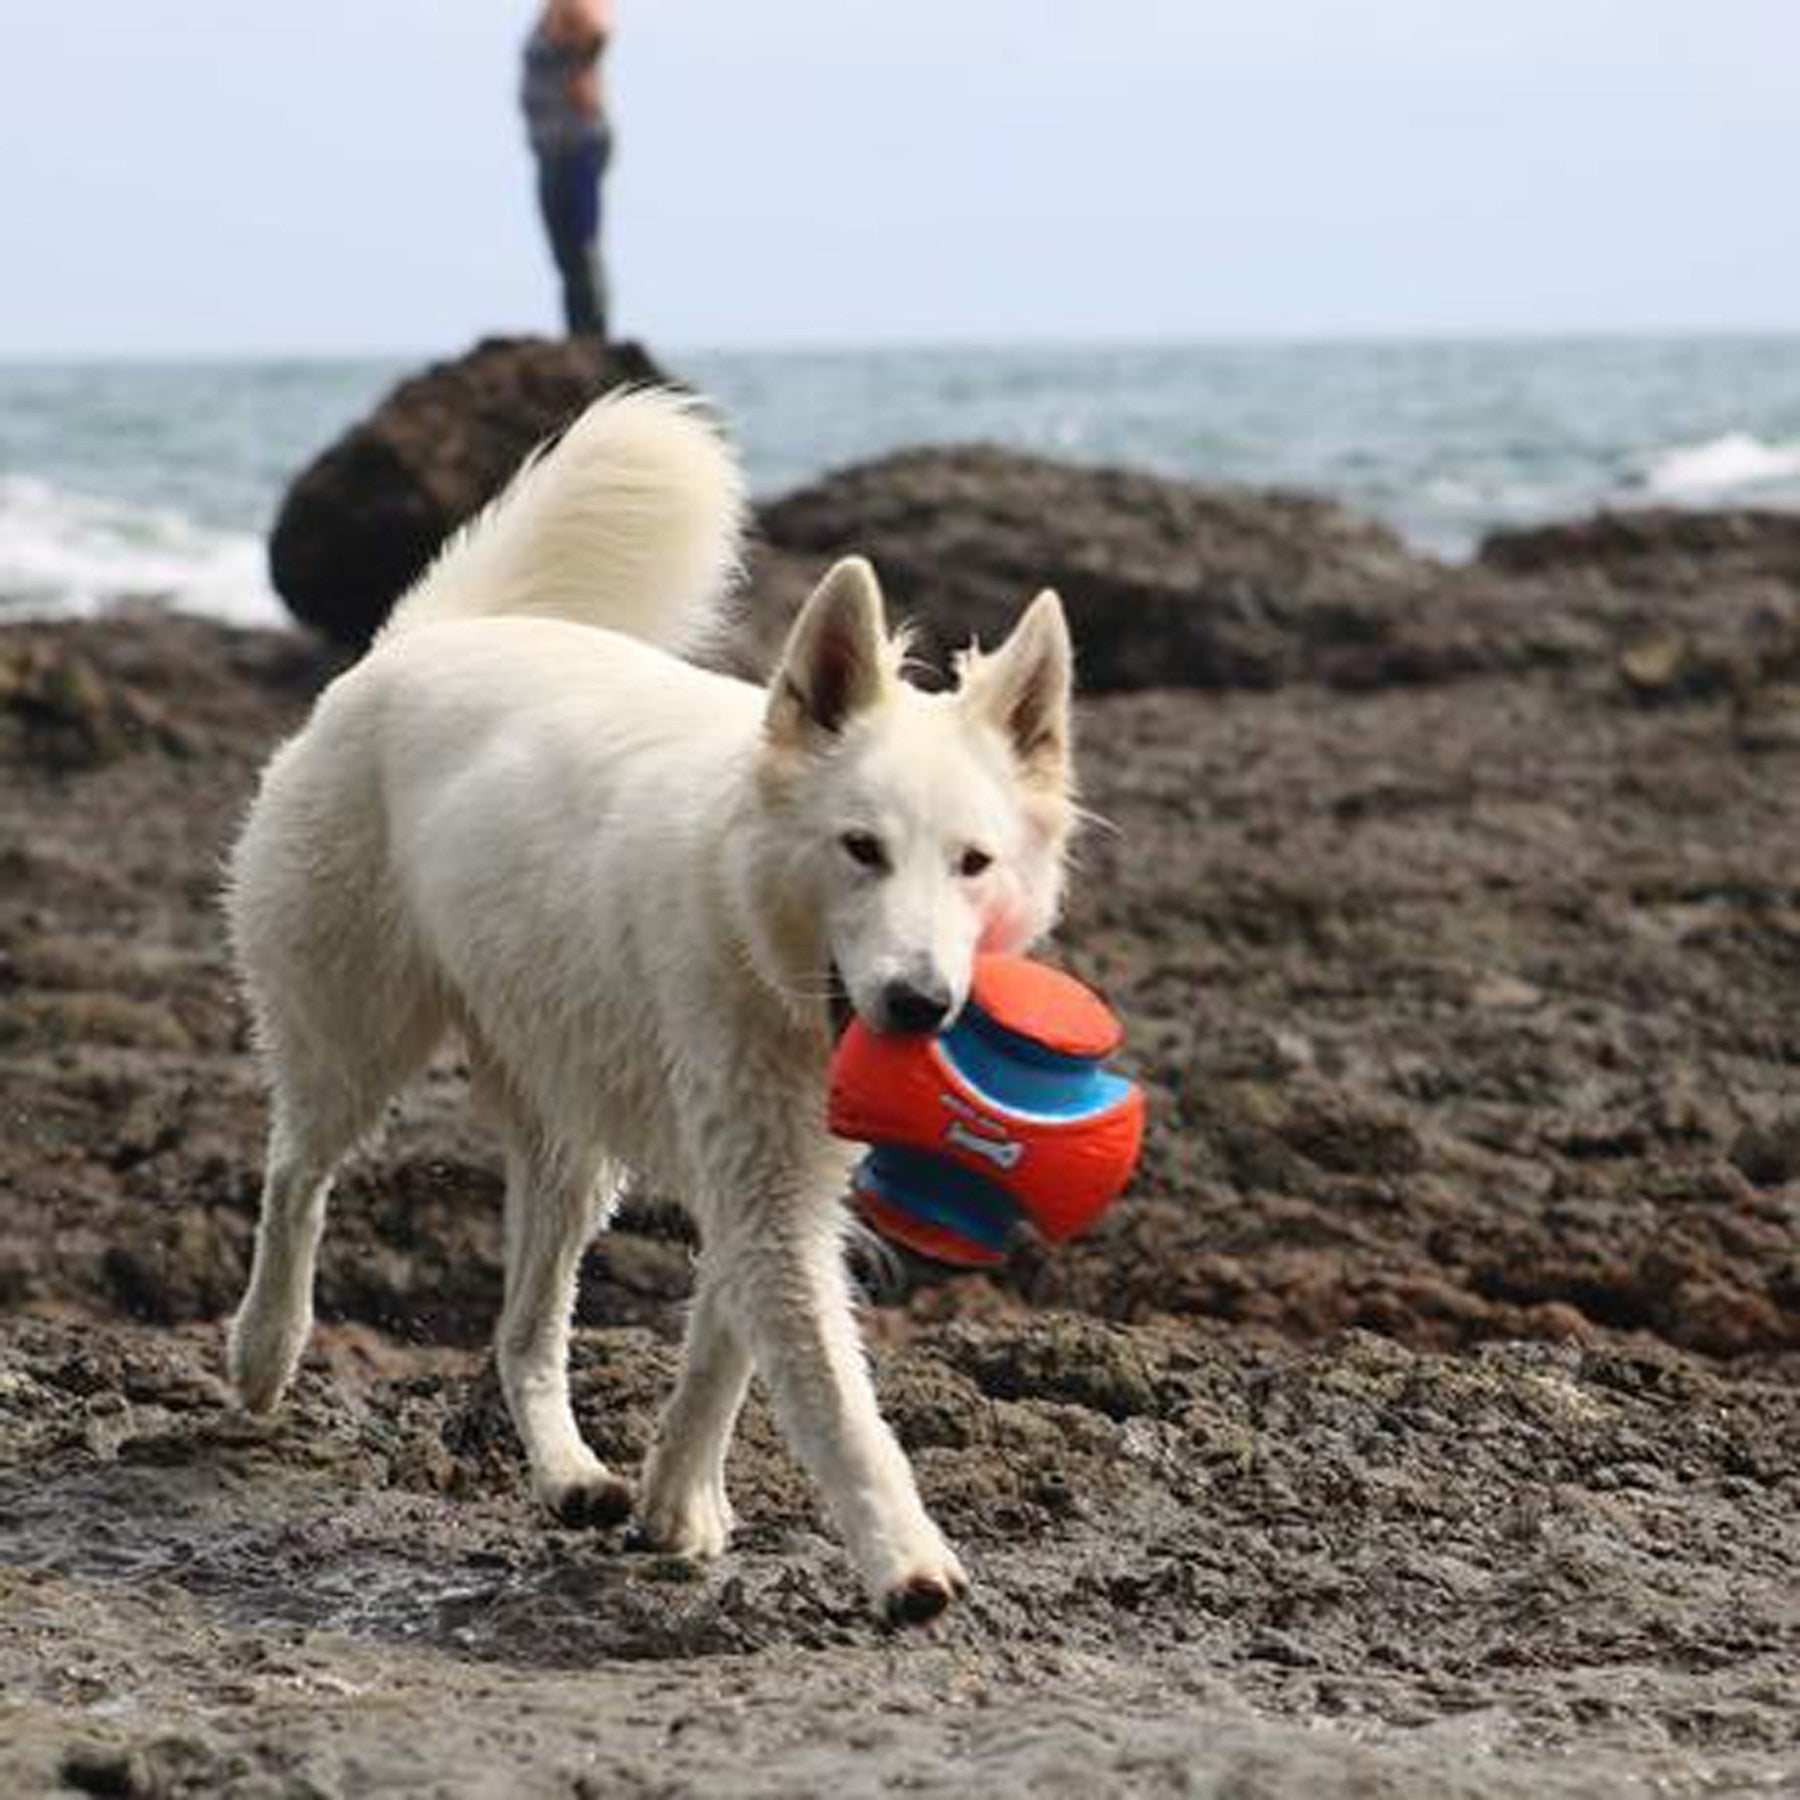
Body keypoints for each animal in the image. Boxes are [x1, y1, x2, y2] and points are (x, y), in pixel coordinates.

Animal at [221, 387, 1065, 1627]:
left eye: (974, 863)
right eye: (860, 849)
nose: (920, 1005)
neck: (756, 932)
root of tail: (420, 640)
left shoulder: (774, 1184)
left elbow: (721, 1354)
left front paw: (677, 1505)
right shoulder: (764, 1194)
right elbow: (834, 1399)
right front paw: (905, 1559)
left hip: (572, 1144)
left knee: (523, 1332)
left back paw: (573, 1475)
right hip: (354, 1038)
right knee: (295, 1177)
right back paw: (263, 1353)